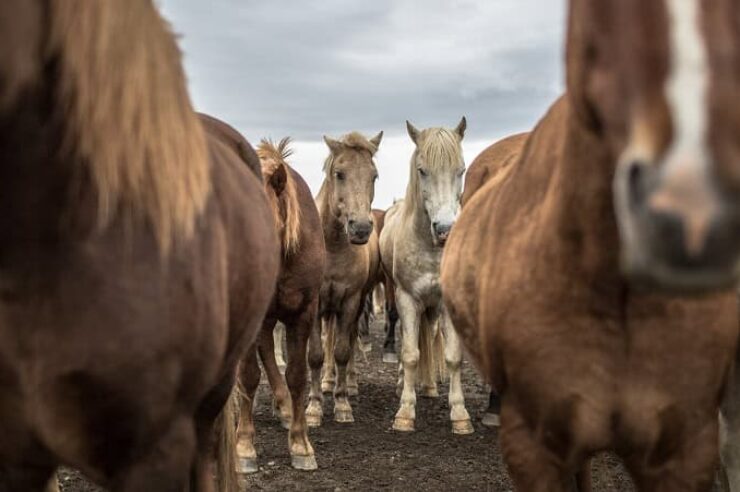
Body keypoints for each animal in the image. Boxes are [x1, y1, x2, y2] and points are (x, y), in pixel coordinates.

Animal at [236, 137, 326, 472]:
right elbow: (249, 376)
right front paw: (244, 446)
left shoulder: (302, 314)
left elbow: (297, 375)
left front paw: (301, 444)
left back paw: (285, 408)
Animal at [304, 131, 382, 426]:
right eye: (339, 174)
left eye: (374, 175)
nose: (360, 228)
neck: (333, 246)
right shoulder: (315, 303)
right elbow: (316, 354)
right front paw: (314, 407)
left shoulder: (350, 301)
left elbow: (342, 351)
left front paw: (342, 404)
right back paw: (327, 382)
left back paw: (348, 383)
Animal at [378, 119, 472, 434]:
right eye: (422, 170)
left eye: (461, 169)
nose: (444, 229)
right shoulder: (407, 298)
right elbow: (410, 354)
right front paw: (405, 412)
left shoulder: (446, 303)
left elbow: (453, 356)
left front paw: (460, 413)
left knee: (428, 336)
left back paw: (429, 385)